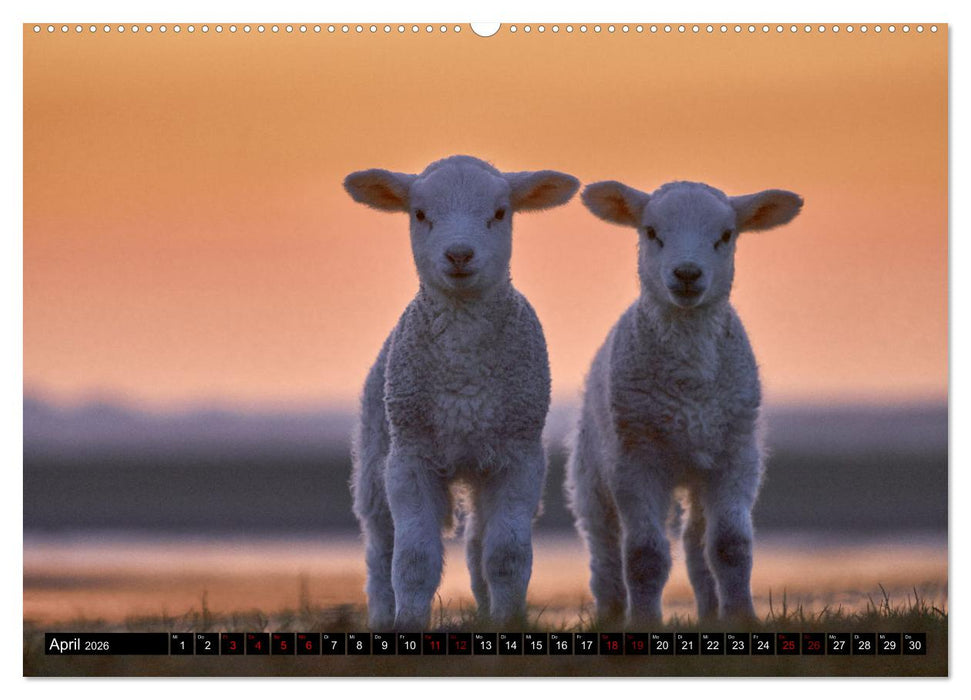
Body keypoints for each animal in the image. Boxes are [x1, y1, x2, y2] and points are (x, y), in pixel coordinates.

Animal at [344, 155, 580, 631]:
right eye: (419, 214)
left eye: (500, 213)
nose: (458, 254)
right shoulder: (410, 458)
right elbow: (413, 560)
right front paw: (408, 624)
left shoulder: (519, 457)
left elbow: (506, 555)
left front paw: (508, 623)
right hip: (376, 460)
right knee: (379, 550)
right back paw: (382, 617)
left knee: (476, 545)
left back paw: (488, 612)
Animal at [566, 179, 803, 626]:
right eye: (651, 232)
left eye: (726, 235)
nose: (688, 274)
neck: (690, 383)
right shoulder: (635, 460)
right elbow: (644, 555)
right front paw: (643, 622)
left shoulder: (735, 456)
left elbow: (730, 546)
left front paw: (741, 618)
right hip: (592, 470)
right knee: (604, 547)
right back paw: (610, 613)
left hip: (699, 470)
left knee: (696, 544)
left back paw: (710, 612)